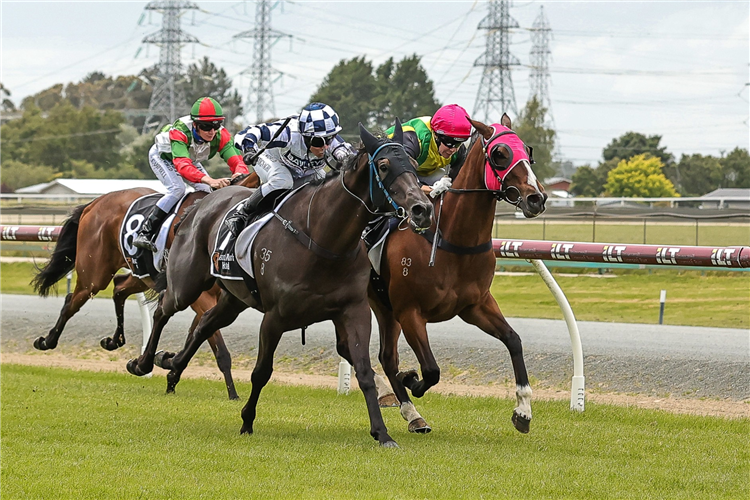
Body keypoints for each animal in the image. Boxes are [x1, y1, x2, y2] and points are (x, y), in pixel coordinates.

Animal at [30, 172, 262, 398]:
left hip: (140, 273)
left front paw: (171, 372)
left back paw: (115, 340)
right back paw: (47, 341)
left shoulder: (210, 298)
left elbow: (197, 334)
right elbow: (218, 346)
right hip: (94, 274)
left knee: (119, 288)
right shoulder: (196, 296)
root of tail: (93, 203)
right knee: (73, 301)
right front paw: (232, 393)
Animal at [128, 122, 434, 450]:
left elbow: (364, 371)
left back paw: (172, 367)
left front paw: (382, 433)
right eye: (384, 165)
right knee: (163, 310)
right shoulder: (275, 317)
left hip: (234, 299)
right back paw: (143, 363)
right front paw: (247, 420)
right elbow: (261, 372)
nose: (422, 209)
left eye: (413, 163)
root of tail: (200, 203)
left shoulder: (353, 311)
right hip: (187, 283)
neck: (324, 240)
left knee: (205, 324)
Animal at [374, 115, 548, 436]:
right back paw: (408, 408)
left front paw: (523, 410)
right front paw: (410, 378)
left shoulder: (475, 305)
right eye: (500, 153)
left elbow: (513, 340)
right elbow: (431, 370)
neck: (453, 238)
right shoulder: (409, 311)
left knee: (385, 356)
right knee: (387, 357)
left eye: (528, 152)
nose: (536, 198)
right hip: (381, 306)